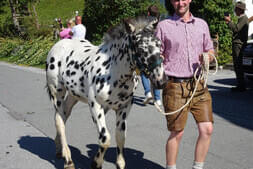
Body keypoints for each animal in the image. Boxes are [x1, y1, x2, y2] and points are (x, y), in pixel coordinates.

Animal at [45, 15, 164, 169]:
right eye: (140, 48)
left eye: (160, 44)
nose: (161, 80)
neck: (114, 70)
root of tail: (59, 44)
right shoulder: (95, 105)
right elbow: (105, 138)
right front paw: (96, 163)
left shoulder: (124, 107)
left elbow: (120, 135)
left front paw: (120, 163)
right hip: (57, 93)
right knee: (59, 120)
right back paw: (68, 160)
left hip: (73, 95)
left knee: (64, 116)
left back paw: (59, 149)